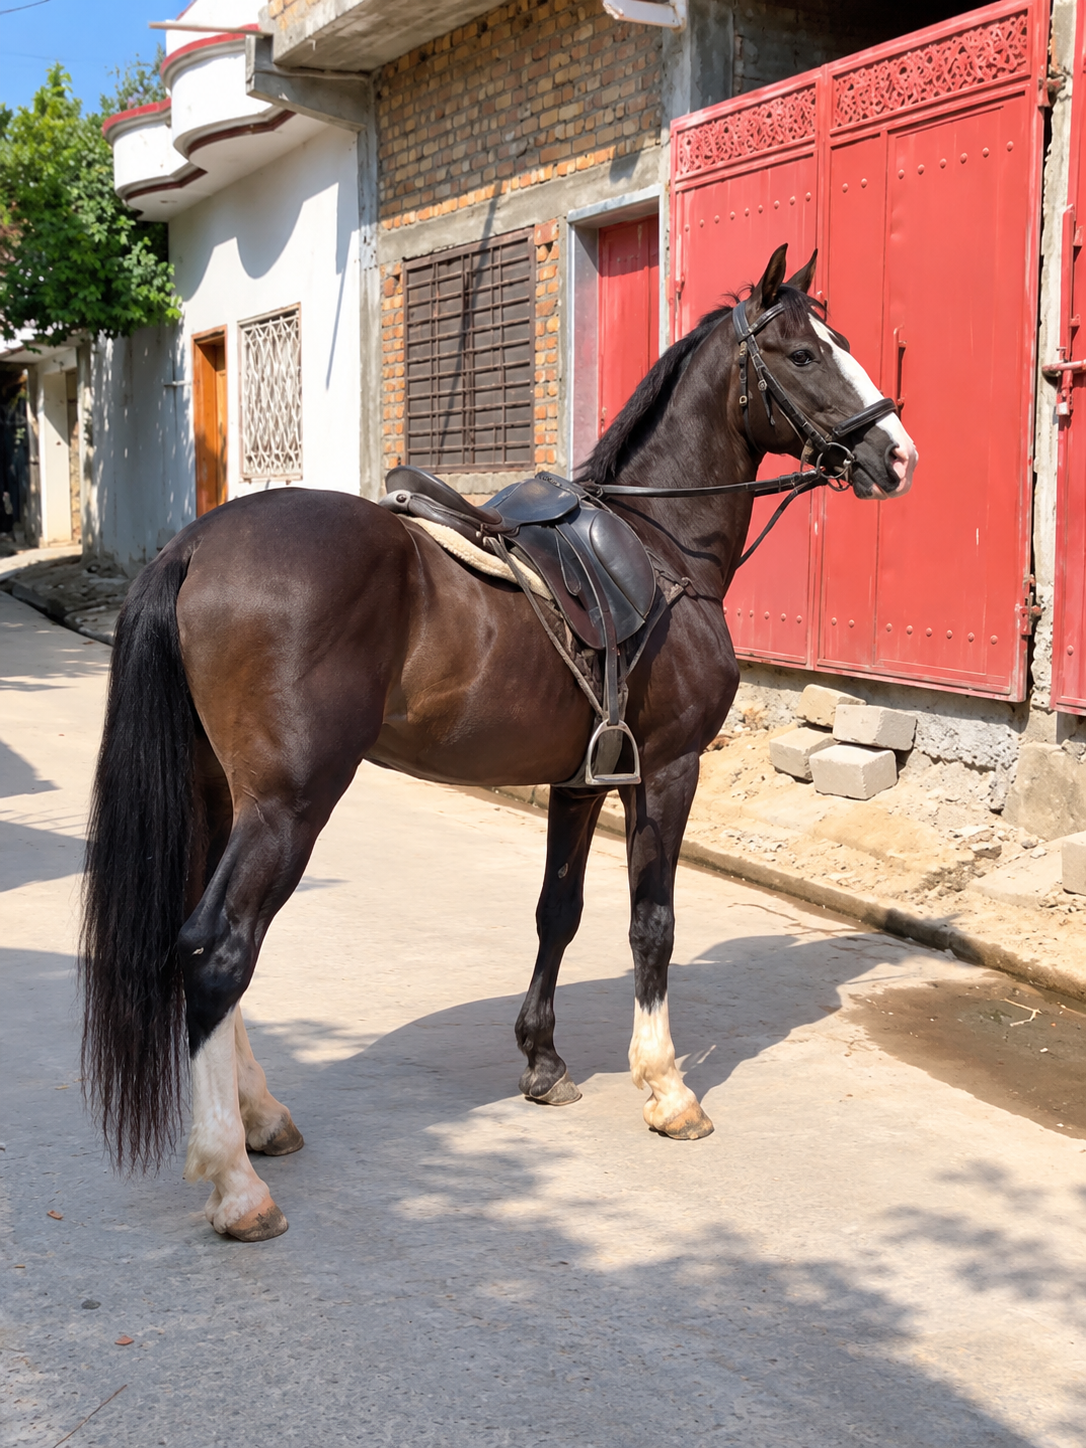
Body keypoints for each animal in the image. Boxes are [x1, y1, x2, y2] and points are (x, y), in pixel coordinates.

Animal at [80, 244, 917, 1240]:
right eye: (801, 354)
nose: (897, 455)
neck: (661, 548)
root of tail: (196, 547)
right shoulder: (666, 773)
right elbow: (653, 924)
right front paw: (666, 1088)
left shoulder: (581, 780)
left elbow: (558, 913)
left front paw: (543, 1064)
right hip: (288, 806)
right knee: (217, 949)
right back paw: (235, 1180)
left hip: (221, 797)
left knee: (205, 951)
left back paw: (262, 1119)